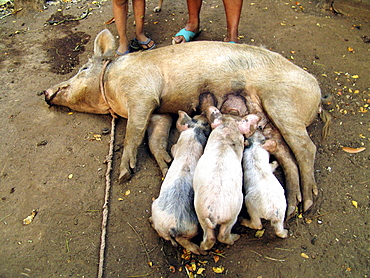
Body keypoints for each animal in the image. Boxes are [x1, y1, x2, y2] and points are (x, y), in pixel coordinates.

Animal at [43, 29, 326, 212]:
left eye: (82, 69)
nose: (45, 92)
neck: (112, 88)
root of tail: (317, 92)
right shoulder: (159, 111)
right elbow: (155, 139)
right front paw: (167, 164)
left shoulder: (141, 94)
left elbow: (133, 132)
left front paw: (124, 174)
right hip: (265, 118)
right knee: (285, 153)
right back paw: (295, 205)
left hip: (281, 102)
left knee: (306, 148)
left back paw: (309, 203)